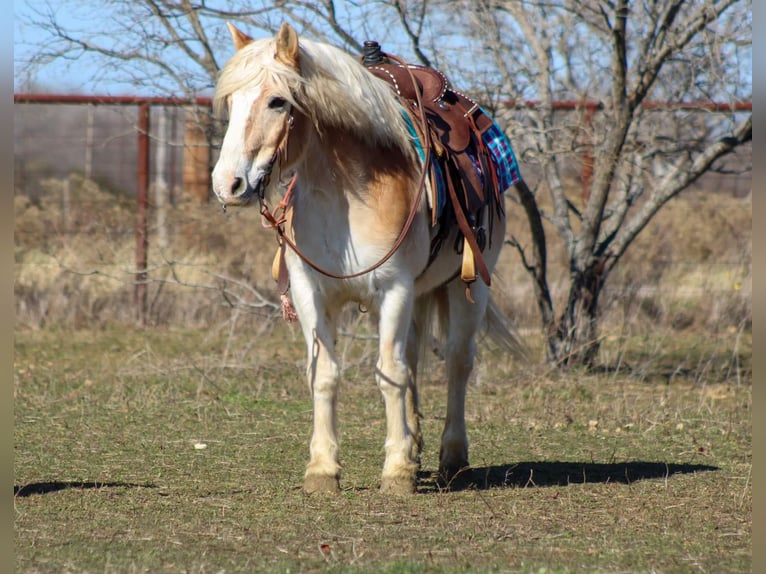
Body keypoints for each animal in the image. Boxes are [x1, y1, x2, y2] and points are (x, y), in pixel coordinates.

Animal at [212, 20, 528, 492]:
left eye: (277, 101)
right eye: (231, 102)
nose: (227, 184)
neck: (346, 194)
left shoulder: (394, 289)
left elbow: (390, 373)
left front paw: (396, 471)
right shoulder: (311, 293)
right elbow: (325, 373)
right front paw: (323, 469)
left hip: (465, 287)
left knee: (457, 362)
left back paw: (452, 457)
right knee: (413, 357)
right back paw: (416, 450)